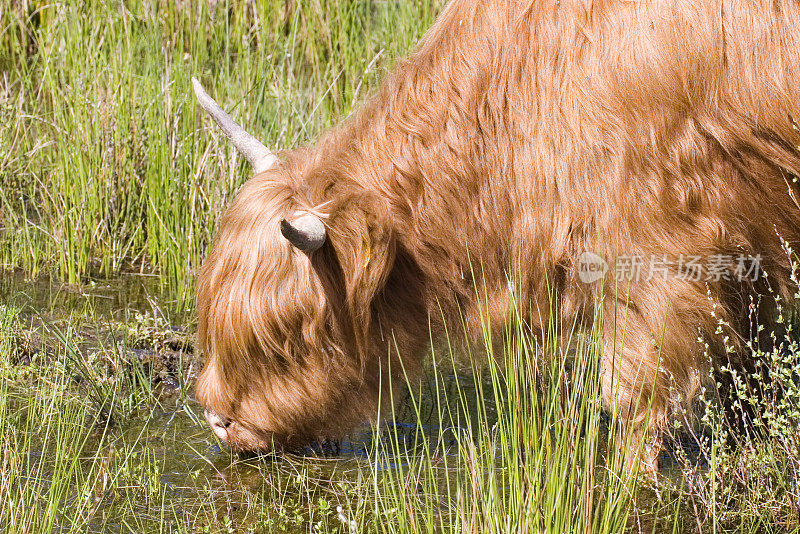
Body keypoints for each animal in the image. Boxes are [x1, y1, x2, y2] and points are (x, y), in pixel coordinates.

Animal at [192, 0, 800, 476]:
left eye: (286, 337)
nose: (220, 422)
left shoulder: (656, 255)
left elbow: (639, 393)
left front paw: (627, 480)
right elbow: (752, 364)